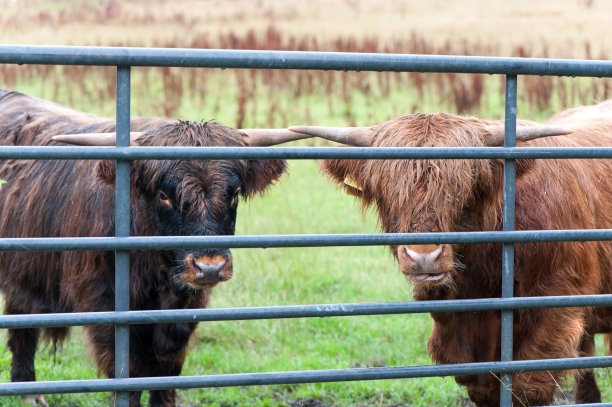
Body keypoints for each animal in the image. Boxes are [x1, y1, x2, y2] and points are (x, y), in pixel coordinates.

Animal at [0, 90, 306, 407]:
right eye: (164, 195)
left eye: (233, 194)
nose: (210, 267)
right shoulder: (104, 301)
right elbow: (129, 371)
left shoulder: (188, 307)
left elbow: (167, 369)